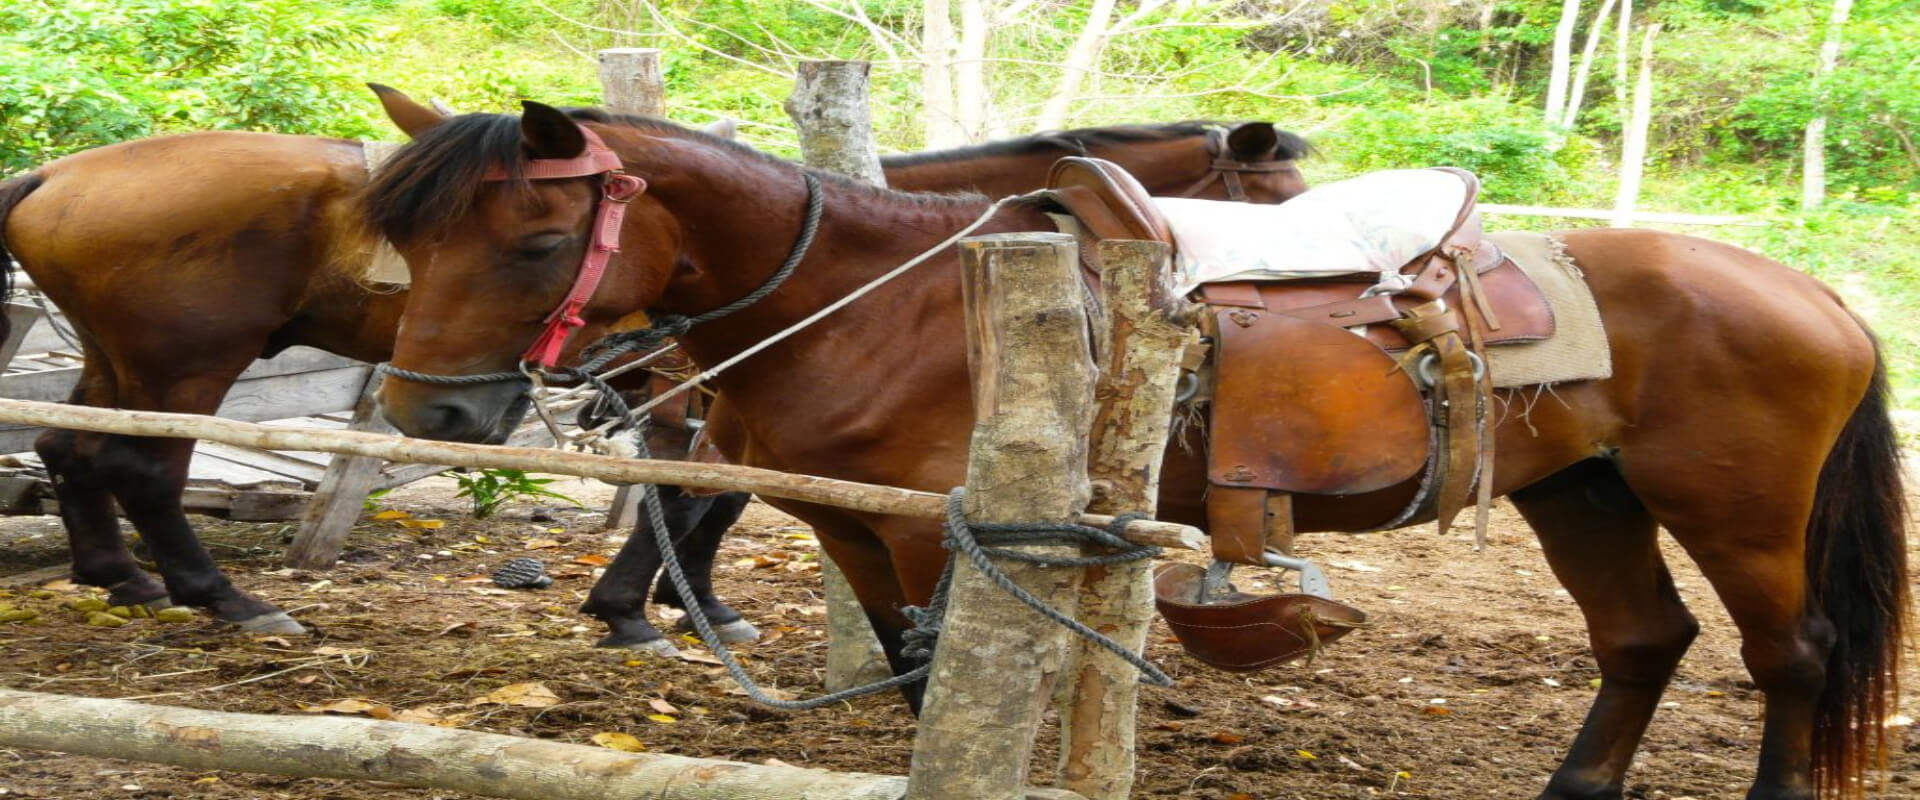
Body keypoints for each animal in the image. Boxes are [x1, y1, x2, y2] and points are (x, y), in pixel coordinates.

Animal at [0, 88, 1313, 640]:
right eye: (1283, 194)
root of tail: (62, 170)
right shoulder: (698, 401)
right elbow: (702, 504)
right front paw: (643, 608)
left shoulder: (704, 405)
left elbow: (708, 505)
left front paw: (677, 603)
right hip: (184, 361)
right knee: (145, 467)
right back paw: (221, 595)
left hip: (119, 354)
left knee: (72, 448)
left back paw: (120, 577)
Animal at [370, 101, 1904, 798]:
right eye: (409, 235)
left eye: (537, 239)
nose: (425, 413)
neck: (888, 301)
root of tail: (1820, 292)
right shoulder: (854, 526)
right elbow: (912, 669)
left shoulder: (934, 527)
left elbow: (941, 678)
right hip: (1583, 492)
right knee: (1644, 639)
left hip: (1737, 508)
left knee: (1793, 655)